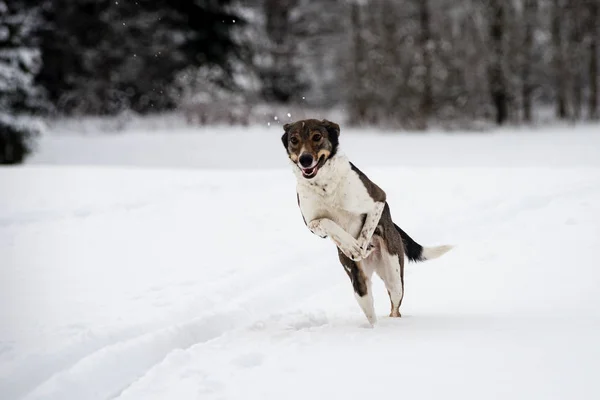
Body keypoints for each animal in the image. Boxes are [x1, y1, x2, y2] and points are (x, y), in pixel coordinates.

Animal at [282, 118, 450, 324]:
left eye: (317, 136)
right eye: (294, 140)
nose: (305, 159)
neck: (324, 184)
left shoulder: (378, 199)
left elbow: (367, 229)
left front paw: (360, 246)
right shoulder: (313, 224)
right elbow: (328, 223)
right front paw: (351, 247)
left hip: (394, 279)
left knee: (395, 307)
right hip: (360, 287)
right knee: (371, 313)